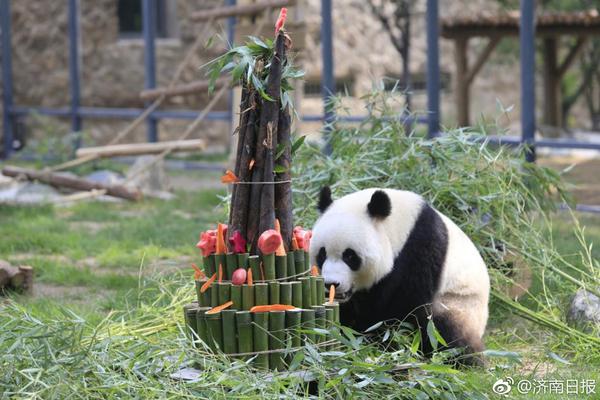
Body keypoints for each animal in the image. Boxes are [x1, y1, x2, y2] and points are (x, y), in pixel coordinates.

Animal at [312, 188, 490, 366]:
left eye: (349, 256)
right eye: (322, 254)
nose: (331, 284)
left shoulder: (419, 253)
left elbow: (401, 309)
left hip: (458, 302)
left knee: (445, 331)